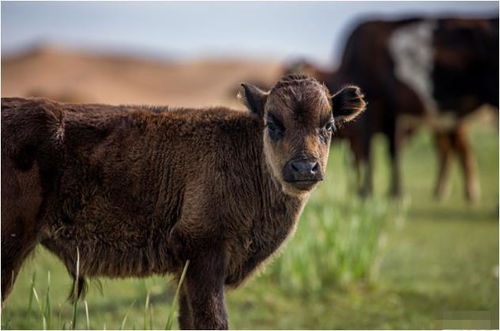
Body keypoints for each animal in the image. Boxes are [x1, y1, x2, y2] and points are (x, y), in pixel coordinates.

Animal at [0, 74, 368, 330]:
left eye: (328, 125)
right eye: (272, 123)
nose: (304, 167)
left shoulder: (187, 271)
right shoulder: (205, 254)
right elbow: (212, 321)